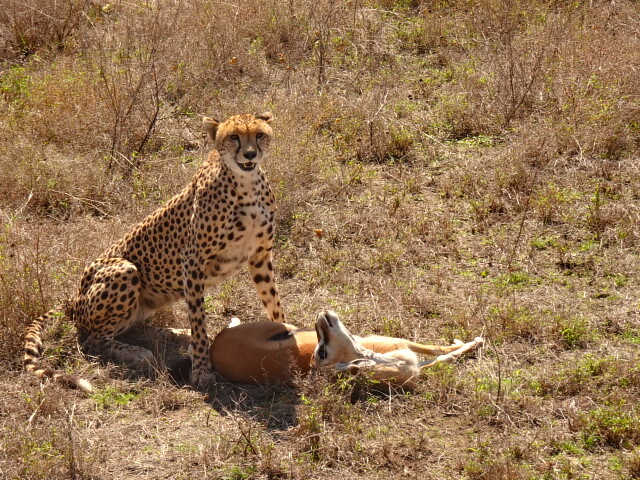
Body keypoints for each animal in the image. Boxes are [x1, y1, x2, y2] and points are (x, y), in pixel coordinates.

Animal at [23, 112, 286, 393]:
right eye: (234, 136)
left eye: (259, 135)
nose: (250, 154)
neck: (246, 184)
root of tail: (73, 299)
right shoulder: (193, 260)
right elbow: (199, 321)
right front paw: (201, 372)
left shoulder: (260, 255)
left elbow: (274, 303)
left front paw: (290, 333)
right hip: (123, 269)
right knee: (93, 338)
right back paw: (138, 352)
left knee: (134, 326)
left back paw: (177, 333)